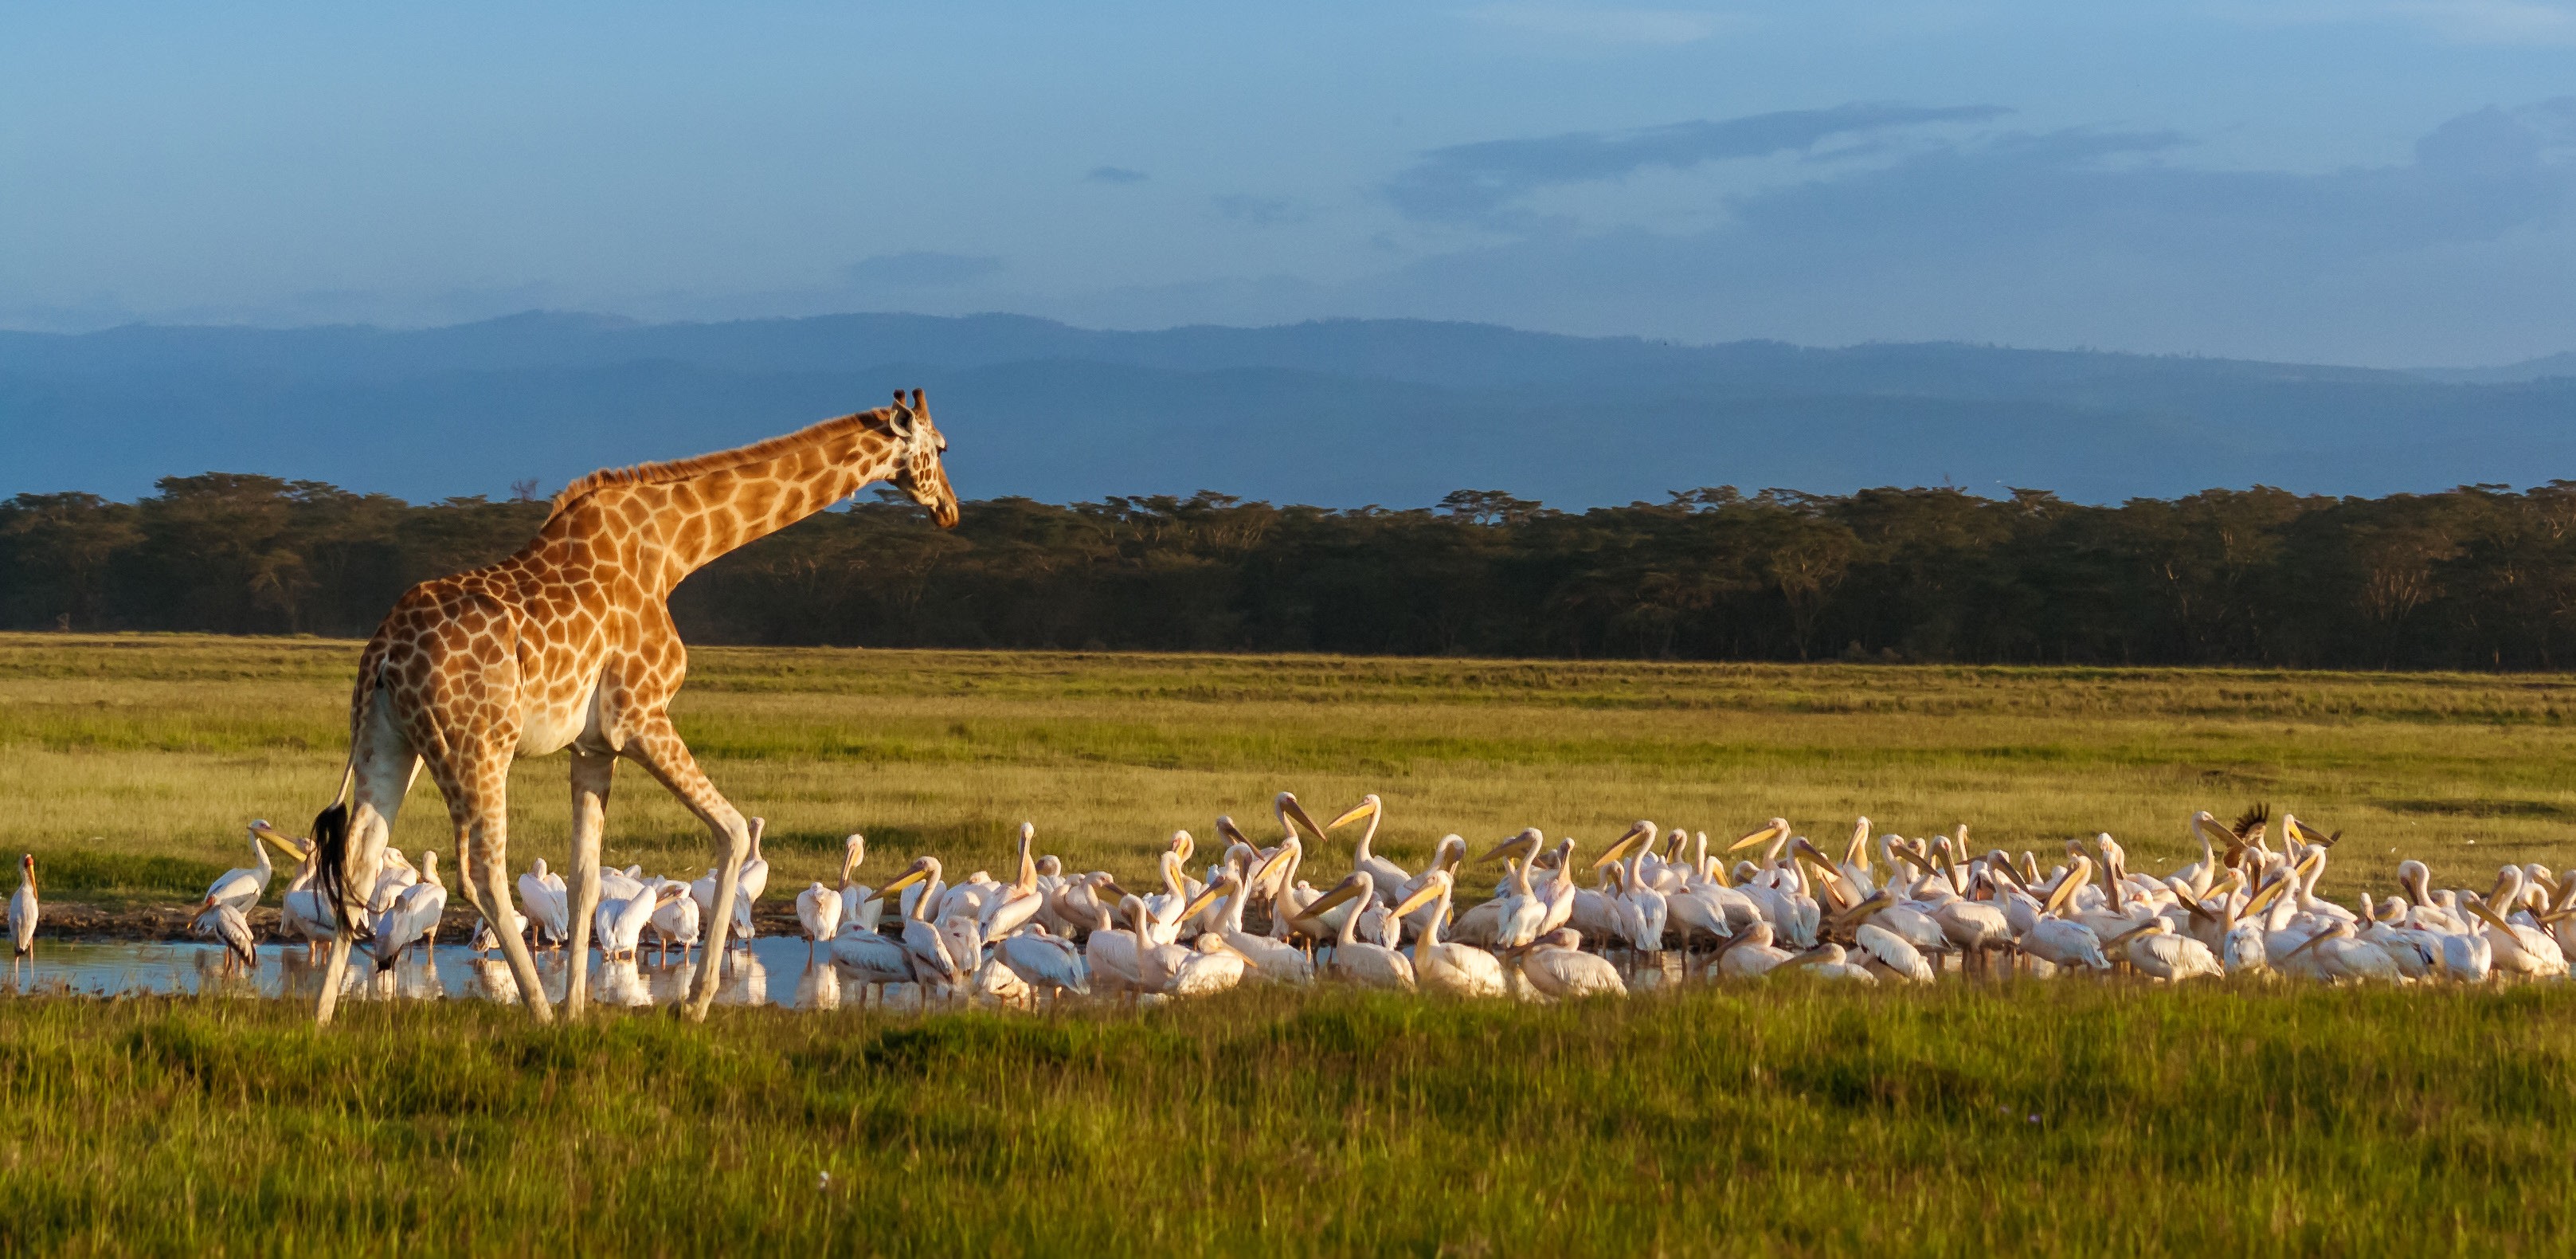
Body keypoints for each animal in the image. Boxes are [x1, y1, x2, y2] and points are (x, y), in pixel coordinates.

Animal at [307, 391, 958, 1024]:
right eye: (941, 446)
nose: (949, 508)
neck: (673, 550)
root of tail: (384, 650)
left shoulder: (593, 745)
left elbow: (586, 881)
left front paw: (578, 1014)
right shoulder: (639, 717)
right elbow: (732, 833)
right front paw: (692, 1004)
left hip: (391, 743)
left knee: (359, 863)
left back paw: (321, 1019)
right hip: (478, 747)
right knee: (482, 873)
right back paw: (537, 1013)